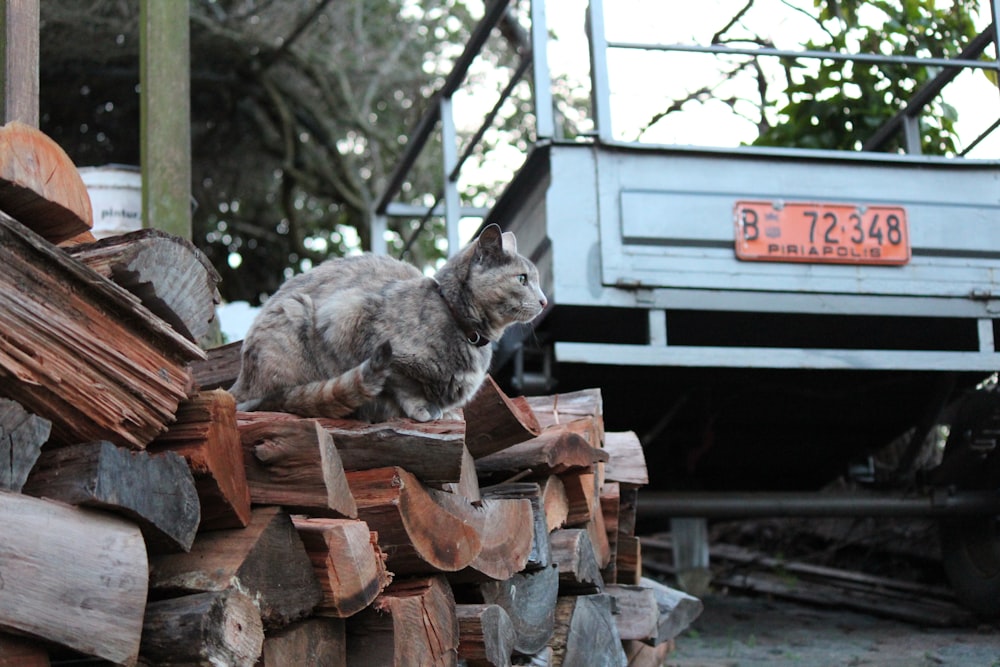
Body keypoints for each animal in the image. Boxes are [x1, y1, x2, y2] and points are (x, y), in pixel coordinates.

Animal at [229, 224, 548, 422]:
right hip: (295, 312)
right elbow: (402, 383)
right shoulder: (351, 319)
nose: (544, 301)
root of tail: (238, 384)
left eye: (537, 279)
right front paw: (423, 409)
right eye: (522, 279)